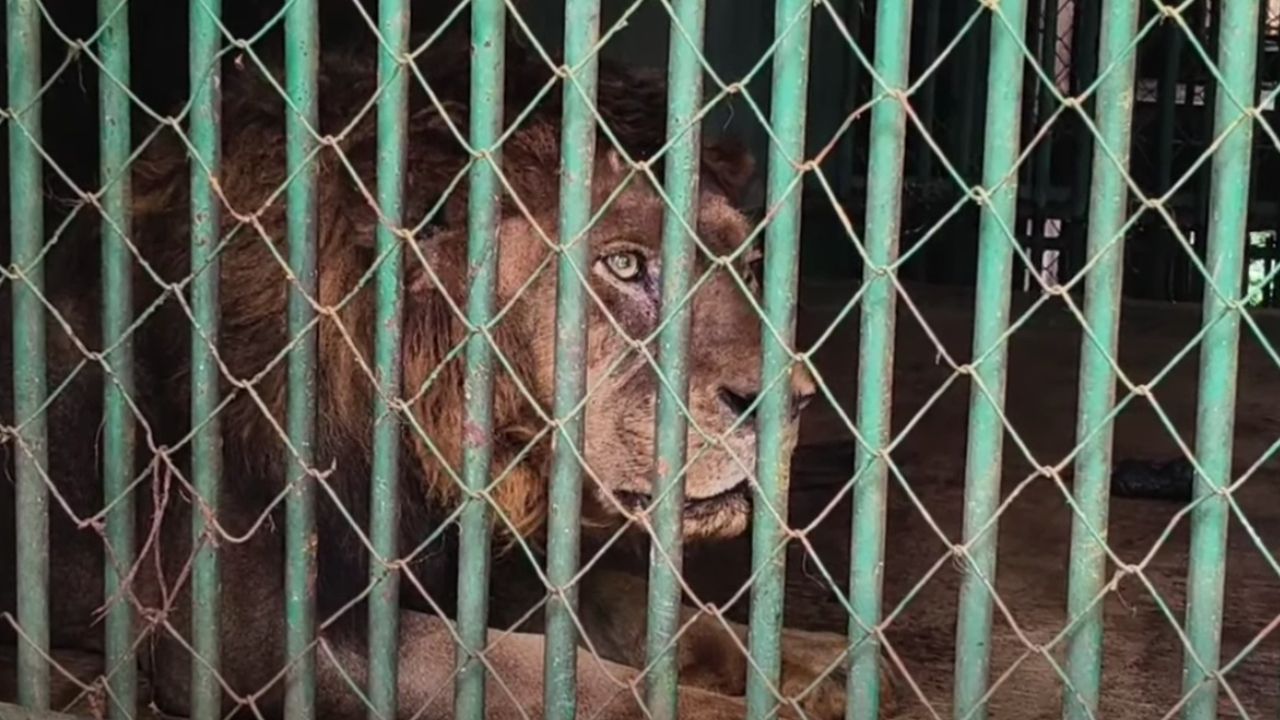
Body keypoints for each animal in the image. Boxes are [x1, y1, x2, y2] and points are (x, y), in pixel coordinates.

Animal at [0, 29, 894, 720]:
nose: (790, 403)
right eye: (625, 264)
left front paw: (834, 662)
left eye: (750, 264)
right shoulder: (246, 641)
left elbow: (659, 617)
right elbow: (580, 681)